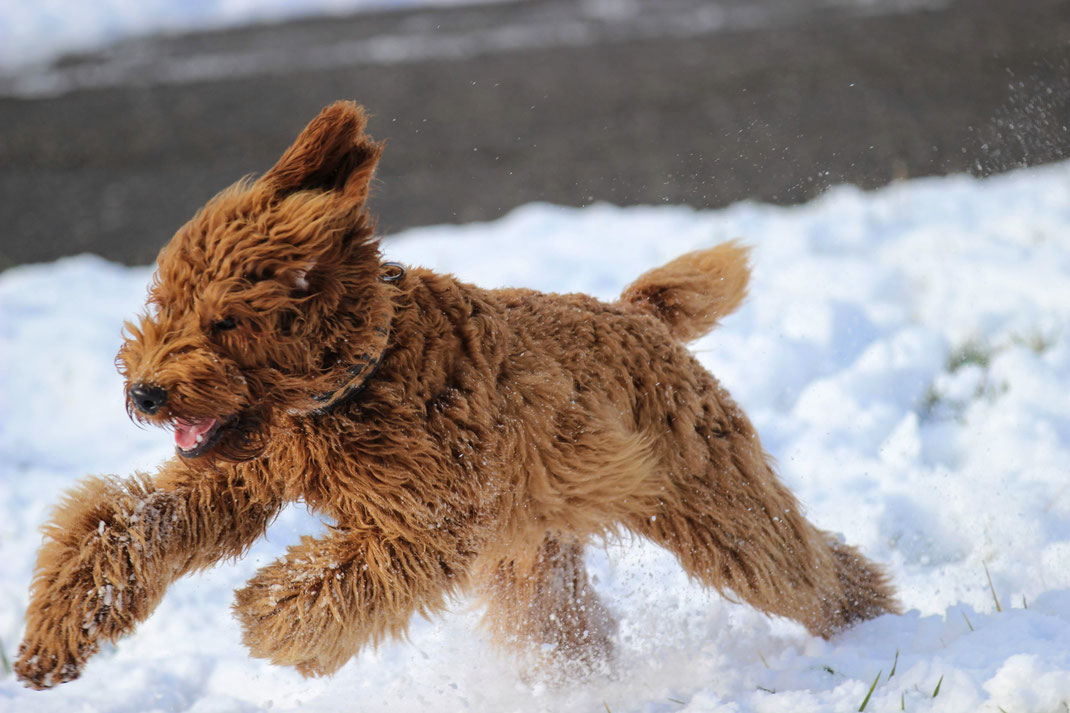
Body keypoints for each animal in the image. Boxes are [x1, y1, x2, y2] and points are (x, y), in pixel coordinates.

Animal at [16, 100, 898, 689]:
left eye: (227, 319)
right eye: (164, 300)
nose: (145, 392)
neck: (355, 377)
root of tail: (638, 314)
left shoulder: (428, 519)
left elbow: (338, 577)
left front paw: (273, 618)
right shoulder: (240, 474)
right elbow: (121, 525)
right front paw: (55, 634)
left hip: (714, 503)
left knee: (810, 568)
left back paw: (876, 628)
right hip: (535, 553)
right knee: (568, 628)